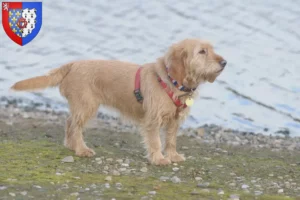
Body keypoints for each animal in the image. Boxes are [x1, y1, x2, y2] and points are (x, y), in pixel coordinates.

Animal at [11, 38, 227, 165]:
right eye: (202, 52)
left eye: (212, 49)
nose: (224, 62)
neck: (171, 81)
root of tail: (72, 64)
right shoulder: (153, 120)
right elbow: (156, 141)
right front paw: (159, 158)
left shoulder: (174, 121)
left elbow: (171, 140)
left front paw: (172, 156)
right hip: (87, 106)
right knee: (74, 126)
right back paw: (81, 149)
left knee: (68, 122)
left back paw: (72, 146)